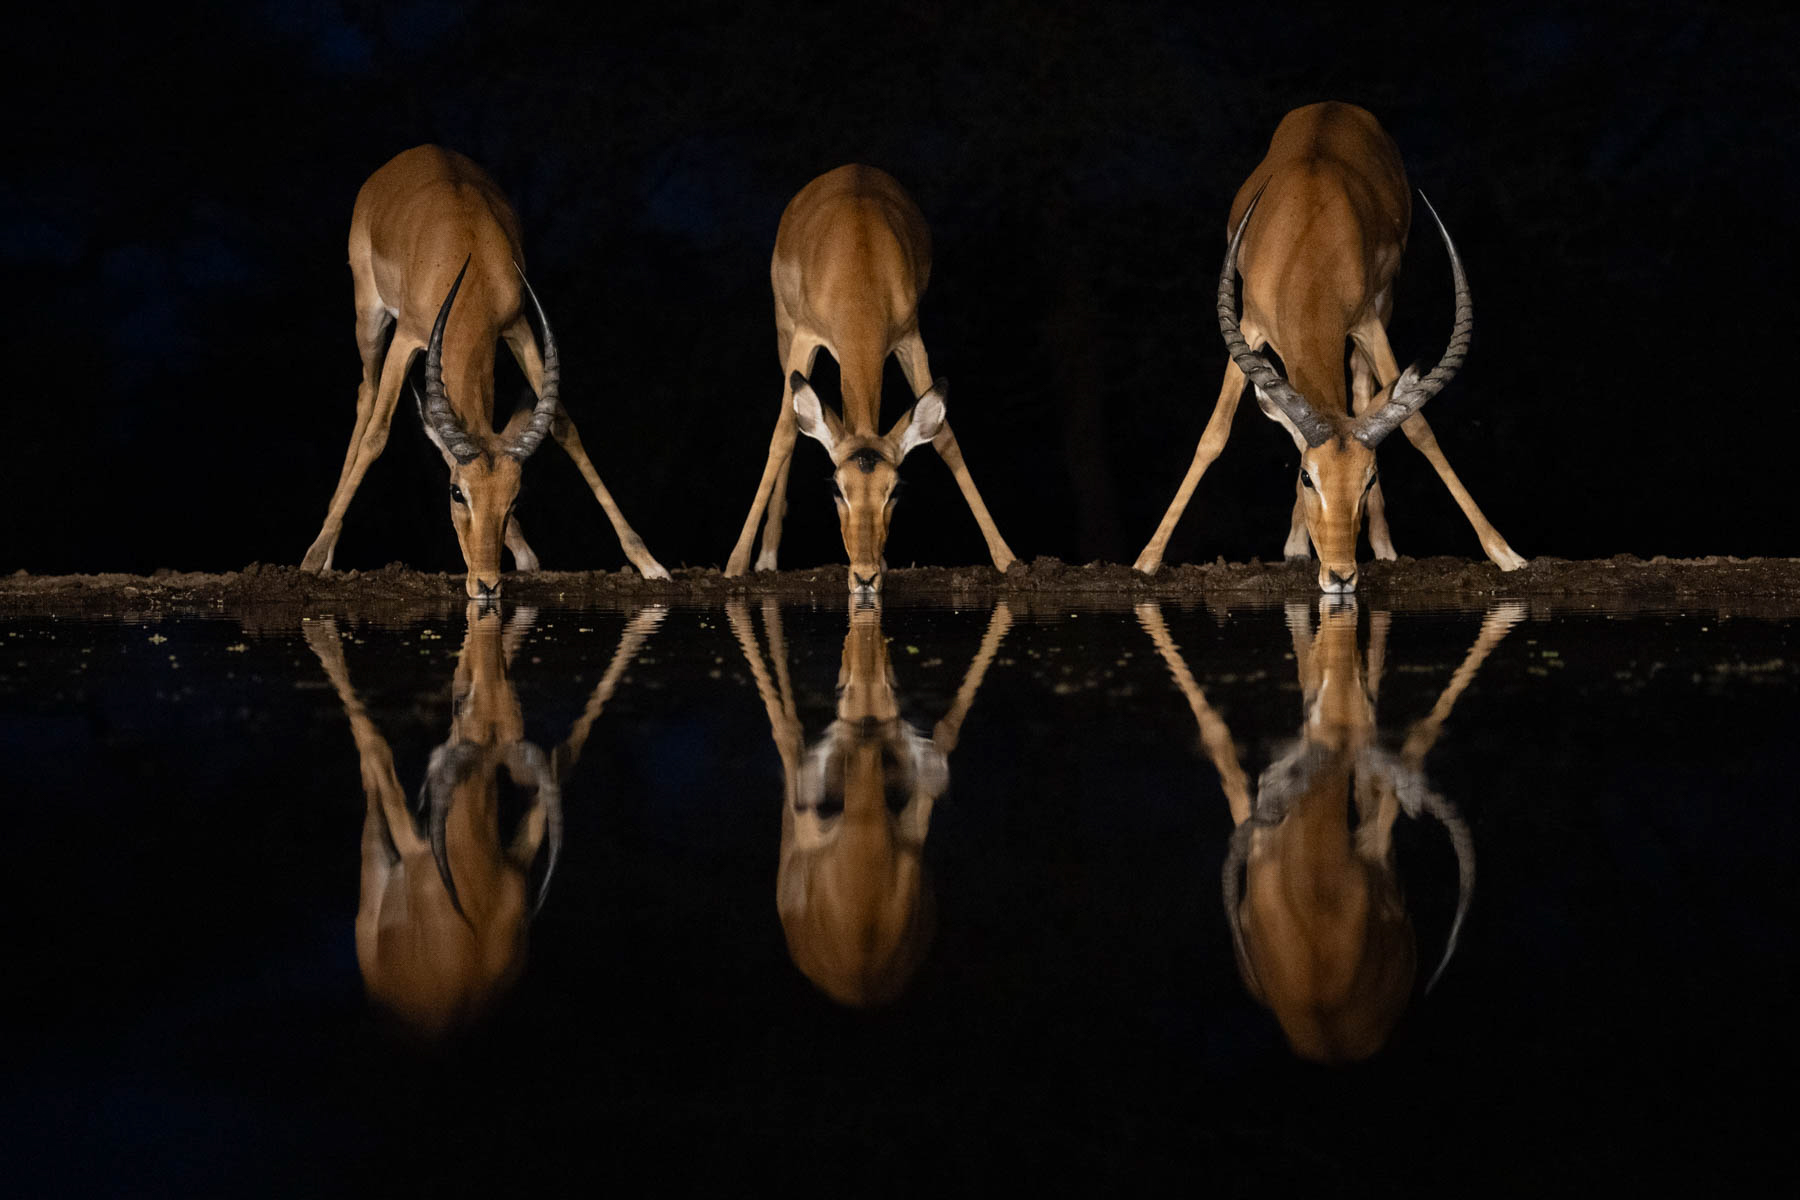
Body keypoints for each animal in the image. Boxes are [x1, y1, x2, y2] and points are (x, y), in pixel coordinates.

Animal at [300, 145, 670, 598]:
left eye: (514, 498)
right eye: (457, 494)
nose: (487, 584)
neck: (468, 257)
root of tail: (408, 157)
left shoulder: (518, 328)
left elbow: (564, 427)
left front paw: (649, 563)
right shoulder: (407, 337)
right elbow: (377, 436)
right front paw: (311, 560)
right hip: (369, 318)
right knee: (365, 396)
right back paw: (324, 550)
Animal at [725, 164, 1017, 595]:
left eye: (895, 490)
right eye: (836, 488)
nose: (865, 575)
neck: (858, 273)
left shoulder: (910, 338)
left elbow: (945, 438)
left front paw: (1007, 558)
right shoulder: (806, 336)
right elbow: (783, 433)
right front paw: (737, 563)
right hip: (784, 330)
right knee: (791, 425)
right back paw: (766, 558)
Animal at [1133, 103, 1525, 592]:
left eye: (1369, 479)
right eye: (1307, 477)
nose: (1340, 575)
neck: (1309, 243)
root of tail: (1334, 107)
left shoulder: (1368, 322)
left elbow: (1418, 428)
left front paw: (1506, 554)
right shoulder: (1248, 325)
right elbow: (1214, 435)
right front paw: (1146, 560)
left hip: (1385, 302)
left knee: (1360, 392)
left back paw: (1379, 547)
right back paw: (1298, 547)